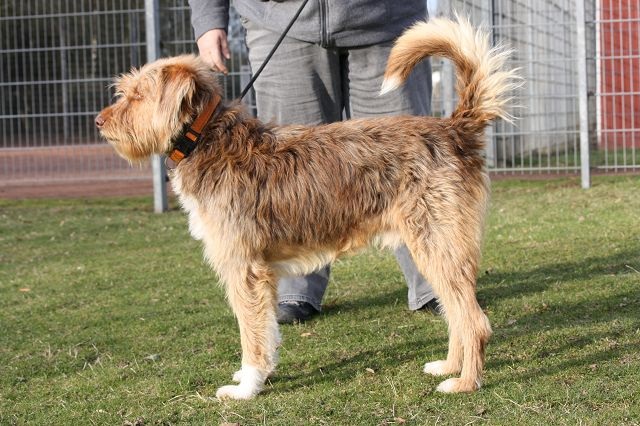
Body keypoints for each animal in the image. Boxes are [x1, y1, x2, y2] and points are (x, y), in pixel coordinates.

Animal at [96, 16, 519, 400]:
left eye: (137, 95)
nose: (99, 121)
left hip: (436, 245)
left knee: (474, 321)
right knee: (456, 315)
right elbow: (265, 328)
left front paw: (247, 387)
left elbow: (251, 332)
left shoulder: (244, 268)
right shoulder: (259, 273)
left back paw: (464, 382)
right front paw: (253, 376)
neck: (206, 138)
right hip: (435, 250)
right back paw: (448, 366)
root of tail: (454, 129)